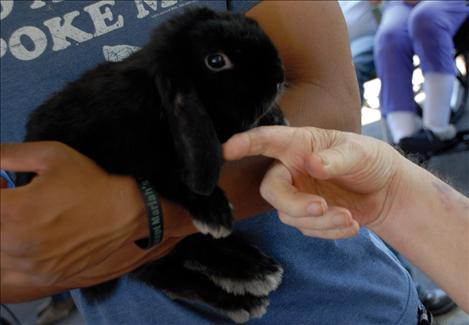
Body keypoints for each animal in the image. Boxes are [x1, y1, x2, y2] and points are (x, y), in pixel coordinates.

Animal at [18, 6, 286, 322]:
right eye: (216, 61)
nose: (278, 78)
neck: (153, 99)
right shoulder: (131, 157)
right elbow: (170, 178)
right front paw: (214, 213)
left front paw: (274, 118)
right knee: (181, 274)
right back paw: (248, 285)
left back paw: (256, 271)